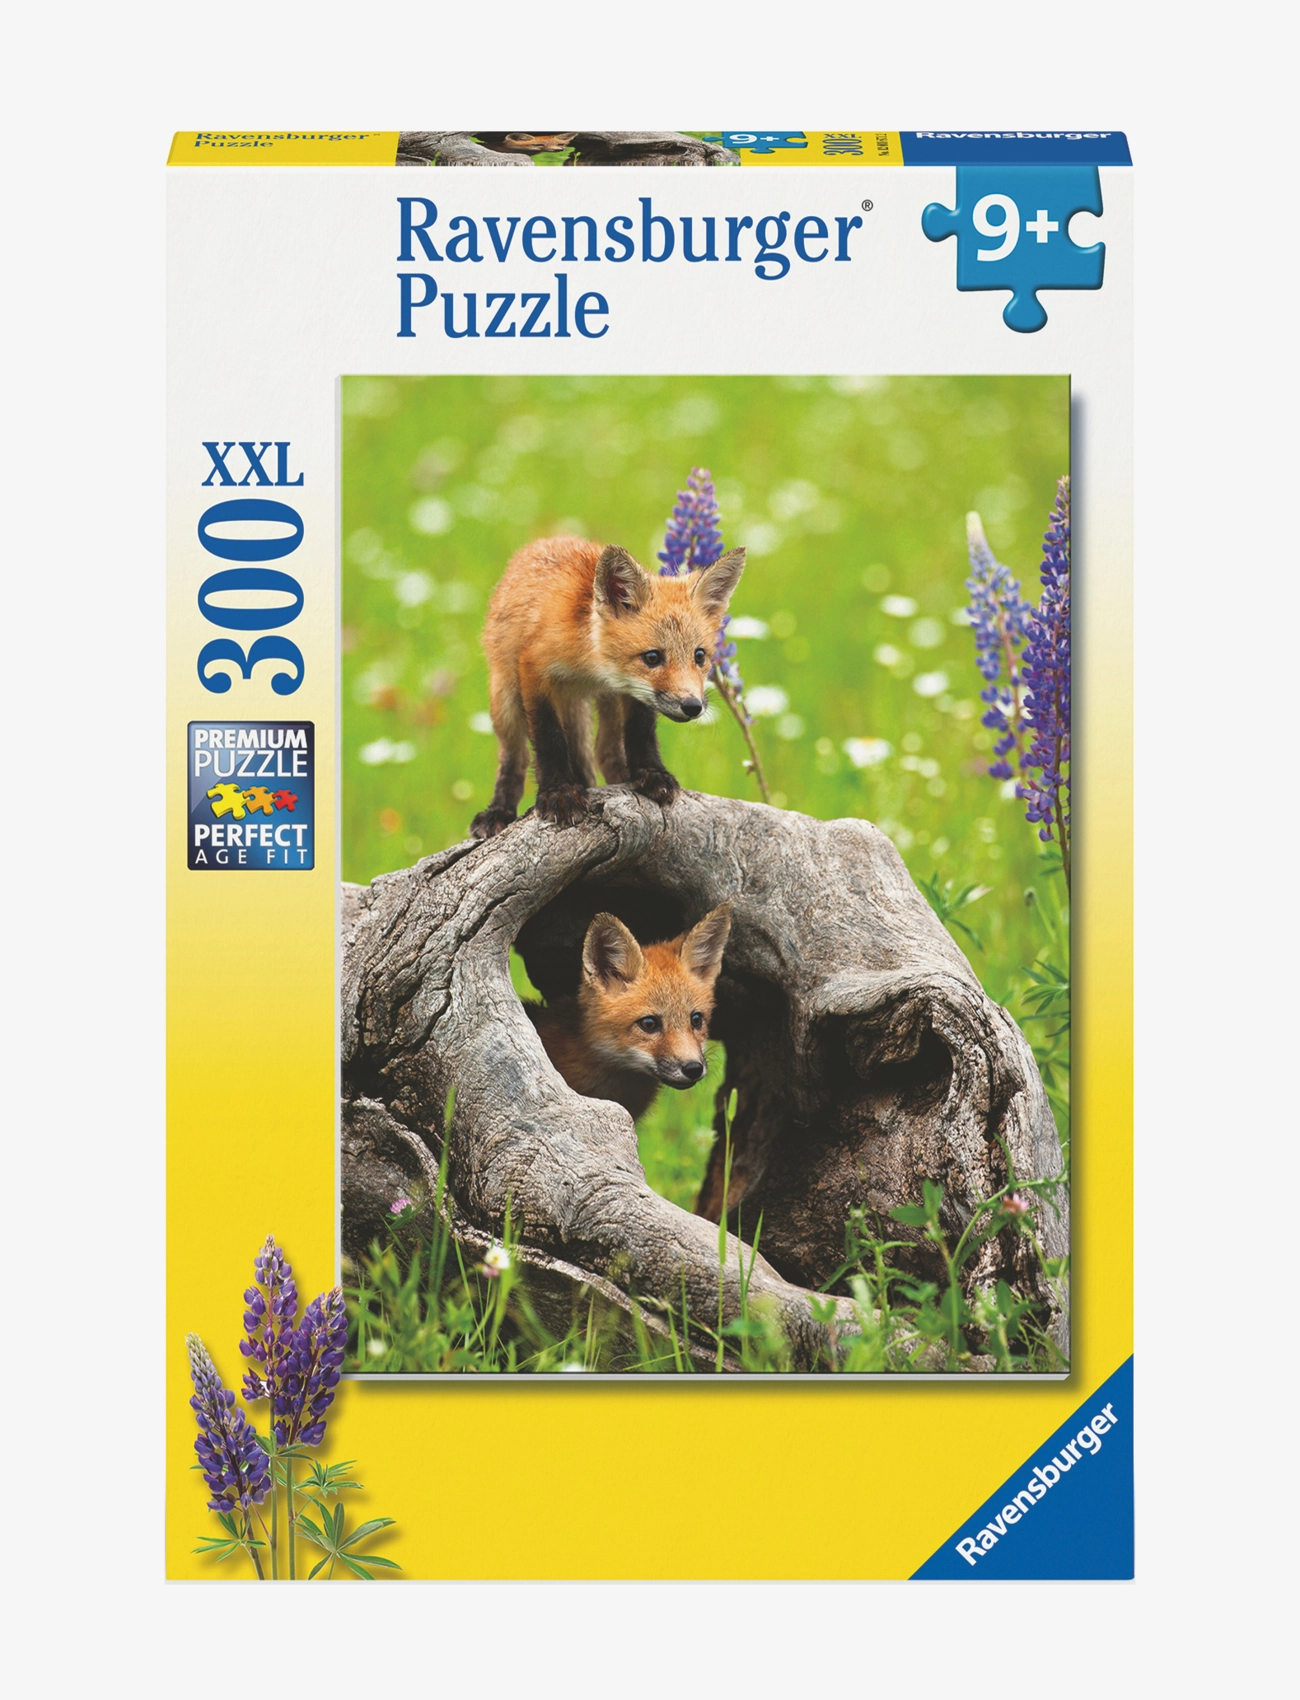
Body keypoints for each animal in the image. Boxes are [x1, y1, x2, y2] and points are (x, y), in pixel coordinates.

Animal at [469, 535, 745, 839]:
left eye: (699, 656)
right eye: (652, 657)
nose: (692, 706)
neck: (590, 665)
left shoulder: (633, 693)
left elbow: (640, 733)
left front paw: (651, 774)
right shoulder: (533, 669)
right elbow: (549, 738)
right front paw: (559, 792)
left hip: (607, 705)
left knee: (605, 750)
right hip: (505, 697)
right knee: (514, 757)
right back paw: (499, 810)